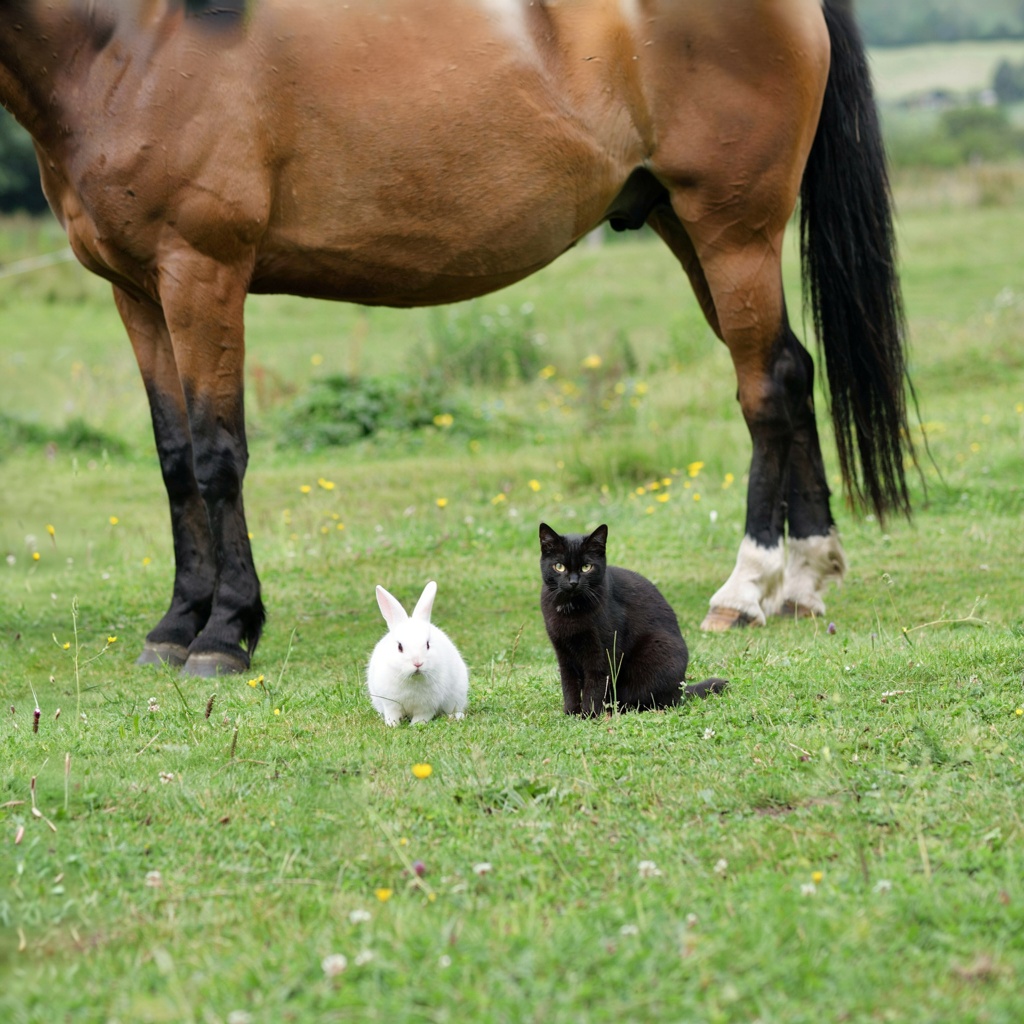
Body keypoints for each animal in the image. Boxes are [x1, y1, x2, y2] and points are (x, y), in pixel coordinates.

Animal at [0, 0, 913, 677]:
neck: (129, 41)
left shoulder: (202, 272)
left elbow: (217, 457)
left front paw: (226, 632)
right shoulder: (137, 291)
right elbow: (173, 459)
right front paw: (175, 626)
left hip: (732, 227)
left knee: (764, 390)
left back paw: (747, 588)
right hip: (685, 226)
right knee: (790, 371)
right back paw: (804, 580)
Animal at [366, 581, 469, 725]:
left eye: (427, 644)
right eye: (399, 647)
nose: (417, 663)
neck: (412, 678)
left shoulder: (427, 706)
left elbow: (422, 717)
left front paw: (415, 726)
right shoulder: (390, 704)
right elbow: (392, 714)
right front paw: (392, 725)